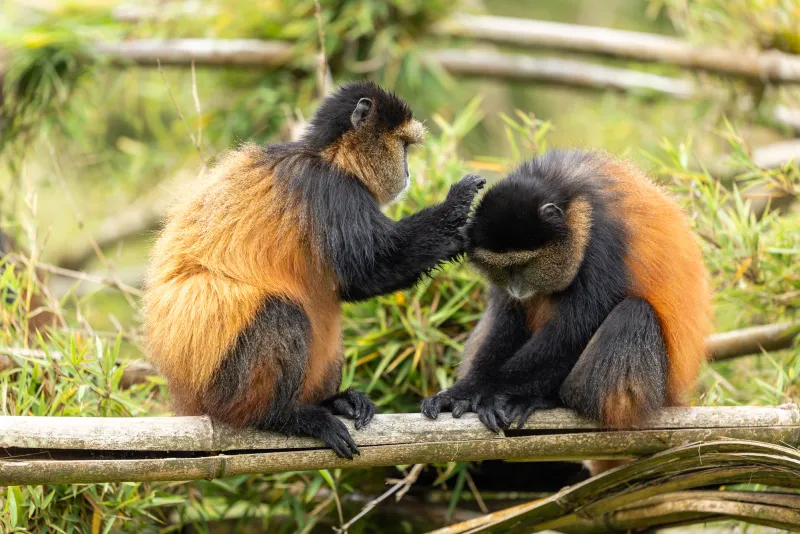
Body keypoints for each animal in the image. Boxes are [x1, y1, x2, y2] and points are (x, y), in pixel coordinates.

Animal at [144, 81, 486, 459]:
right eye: (404, 147)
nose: (409, 172)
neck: (328, 156)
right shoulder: (332, 189)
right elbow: (372, 269)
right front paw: (457, 207)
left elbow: (353, 284)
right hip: (222, 385)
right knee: (280, 314)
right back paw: (282, 416)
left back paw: (333, 402)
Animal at [422, 150, 712, 474]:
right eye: (504, 269)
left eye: (526, 265)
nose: (517, 287)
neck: (564, 190)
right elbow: (507, 317)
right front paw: (465, 390)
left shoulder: (602, 234)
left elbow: (579, 326)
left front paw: (494, 391)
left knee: (633, 314)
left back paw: (546, 400)